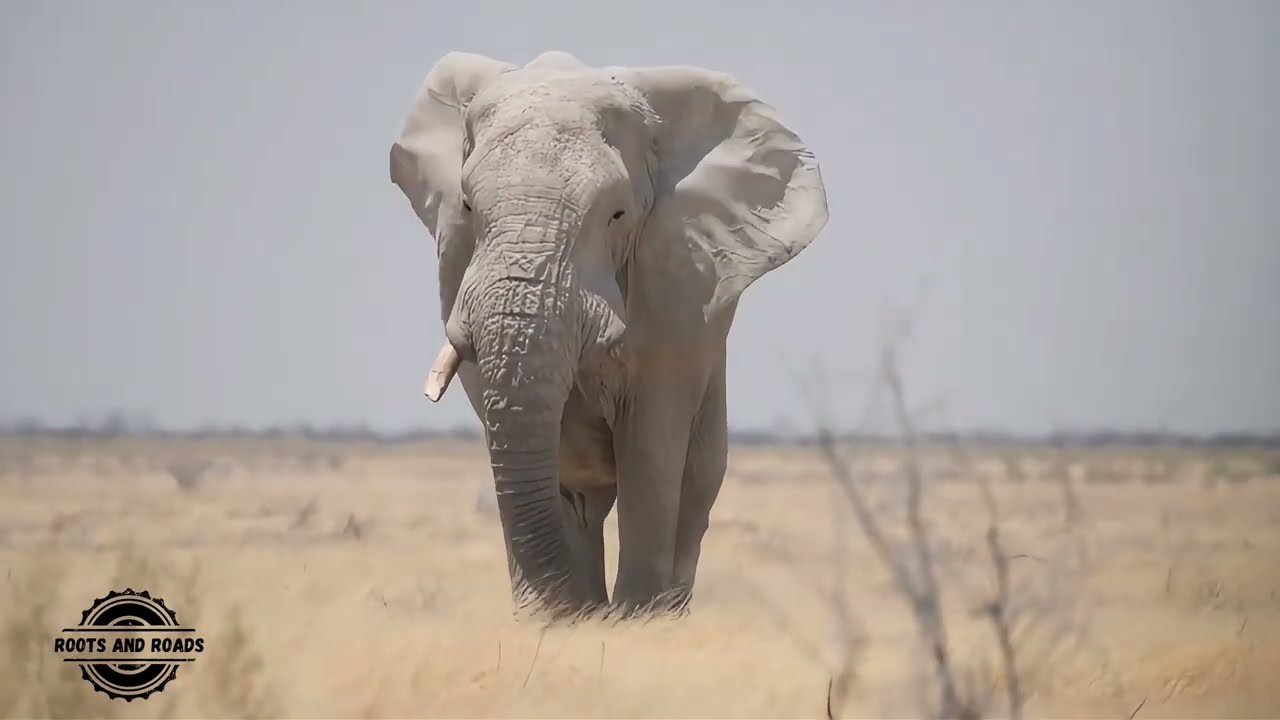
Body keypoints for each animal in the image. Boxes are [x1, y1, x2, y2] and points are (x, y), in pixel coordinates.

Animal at [389, 50, 828, 617]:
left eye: (617, 214)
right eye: (466, 206)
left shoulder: (674, 282)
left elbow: (652, 448)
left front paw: (634, 621)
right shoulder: (457, 268)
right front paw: (558, 621)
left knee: (693, 487)